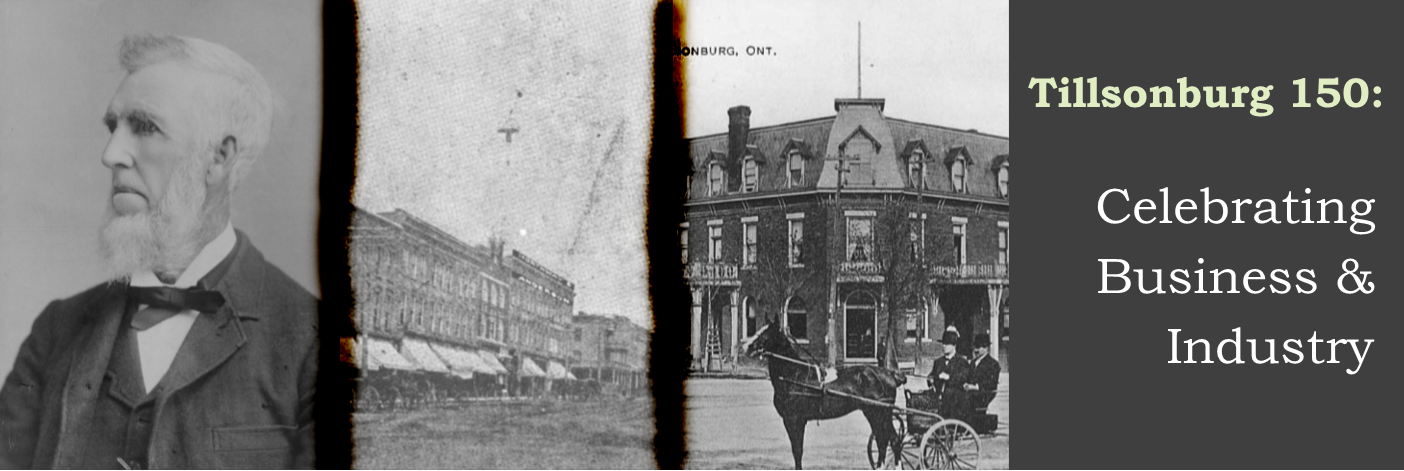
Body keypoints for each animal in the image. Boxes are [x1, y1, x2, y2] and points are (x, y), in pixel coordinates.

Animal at [741, 323, 904, 469]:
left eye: (765, 334)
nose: (747, 347)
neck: (794, 374)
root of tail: (890, 374)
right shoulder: (794, 420)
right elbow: (797, 451)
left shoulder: (794, 420)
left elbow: (797, 451)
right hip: (874, 413)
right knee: (884, 440)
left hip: (880, 412)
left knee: (892, 440)